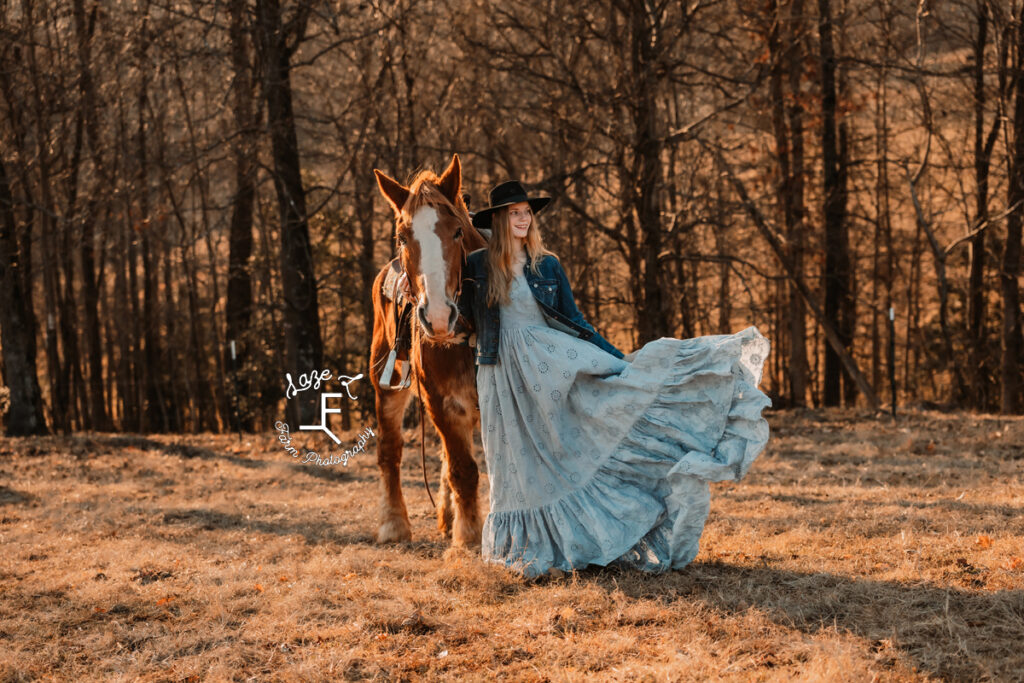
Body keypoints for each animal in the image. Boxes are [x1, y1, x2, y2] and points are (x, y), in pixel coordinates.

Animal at [370, 156, 489, 548]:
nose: (437, 316)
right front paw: (468, 538)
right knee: (390, 450)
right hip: (387, 385)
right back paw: (394, 524)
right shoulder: (440, 400)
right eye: (402, 237)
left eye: (456, 232)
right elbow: (463, 469)